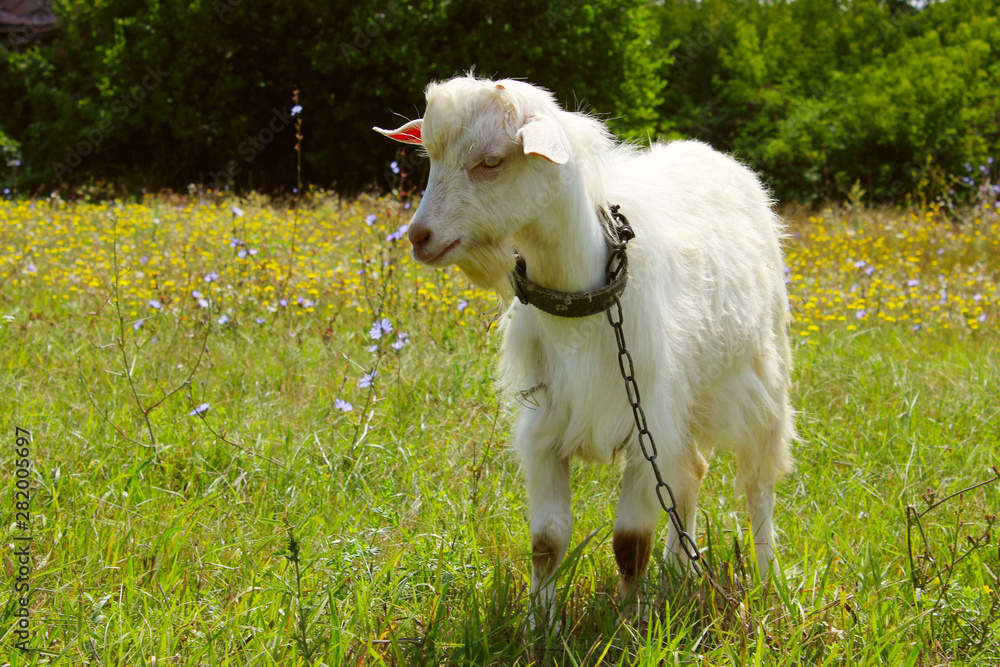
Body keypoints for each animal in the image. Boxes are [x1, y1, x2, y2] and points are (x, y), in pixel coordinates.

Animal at [375, 75, 794, 624]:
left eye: (491, 160)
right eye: (429, 156)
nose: (419, 237)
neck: (583, 301)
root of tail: (715, 157)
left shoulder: (643, 424)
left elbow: (630, 542)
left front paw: (631, 622)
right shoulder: (546, 427)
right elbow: (547, 541)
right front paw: (539, 624)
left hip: (762, 379)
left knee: (757, 486)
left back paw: (767, 578)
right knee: (690, 475)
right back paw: (680, 567)